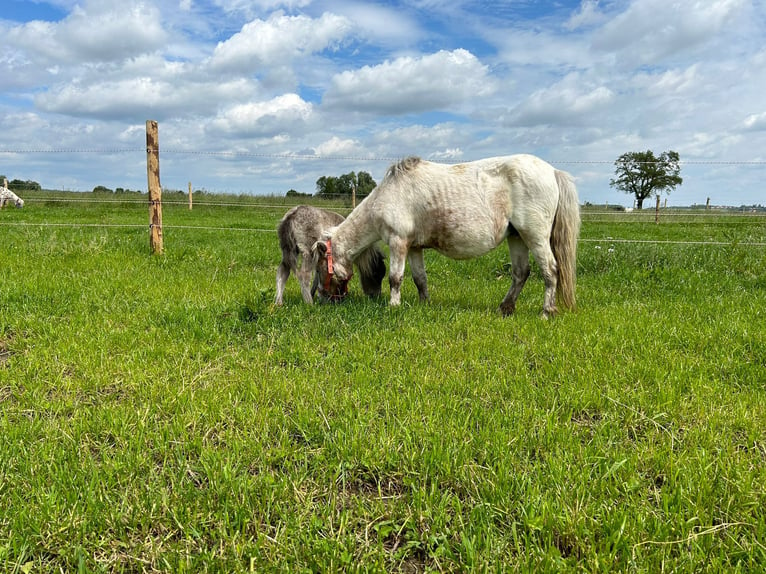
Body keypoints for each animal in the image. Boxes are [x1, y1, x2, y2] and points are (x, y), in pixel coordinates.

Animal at [312, 155, 584, 318]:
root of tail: (552, 171)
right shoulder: (414, 247)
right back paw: (505, 308)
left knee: (550, 271)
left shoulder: (398, 242)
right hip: (516, 237)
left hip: (534, 236)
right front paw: (424, 304)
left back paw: (546, 311)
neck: (388, 196)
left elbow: (395, 278)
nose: (324, 300)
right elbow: (420, 279)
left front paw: (393, 306)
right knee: (520, 273)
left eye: (321, 267)